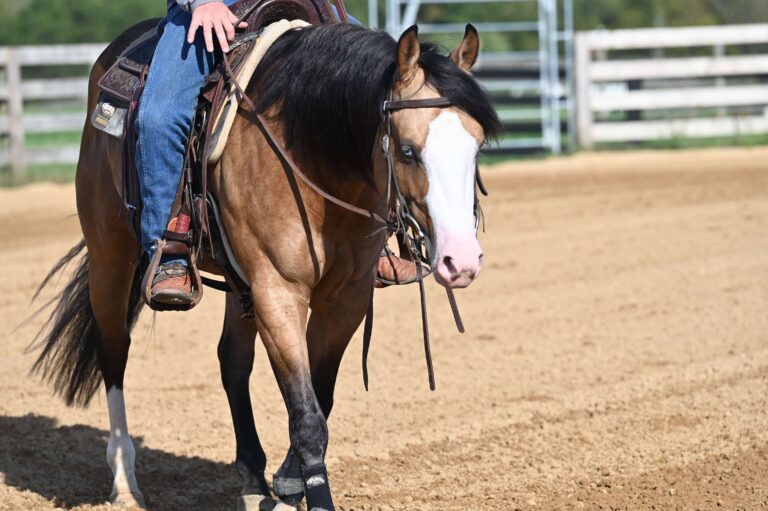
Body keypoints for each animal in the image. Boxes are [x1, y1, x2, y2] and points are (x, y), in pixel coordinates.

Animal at [31, 20, 500, 511]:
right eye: (408, 151)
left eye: (477, 147)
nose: (461, 260)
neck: (314, 155)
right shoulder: (277, 291)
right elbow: (307, 416)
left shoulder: (345, 299)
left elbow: (319, 398)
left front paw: (288, 483)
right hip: (111, 254)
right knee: (114, 350)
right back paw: (124, 480)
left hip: (239, 284)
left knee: (232, 361)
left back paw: (253, 481)